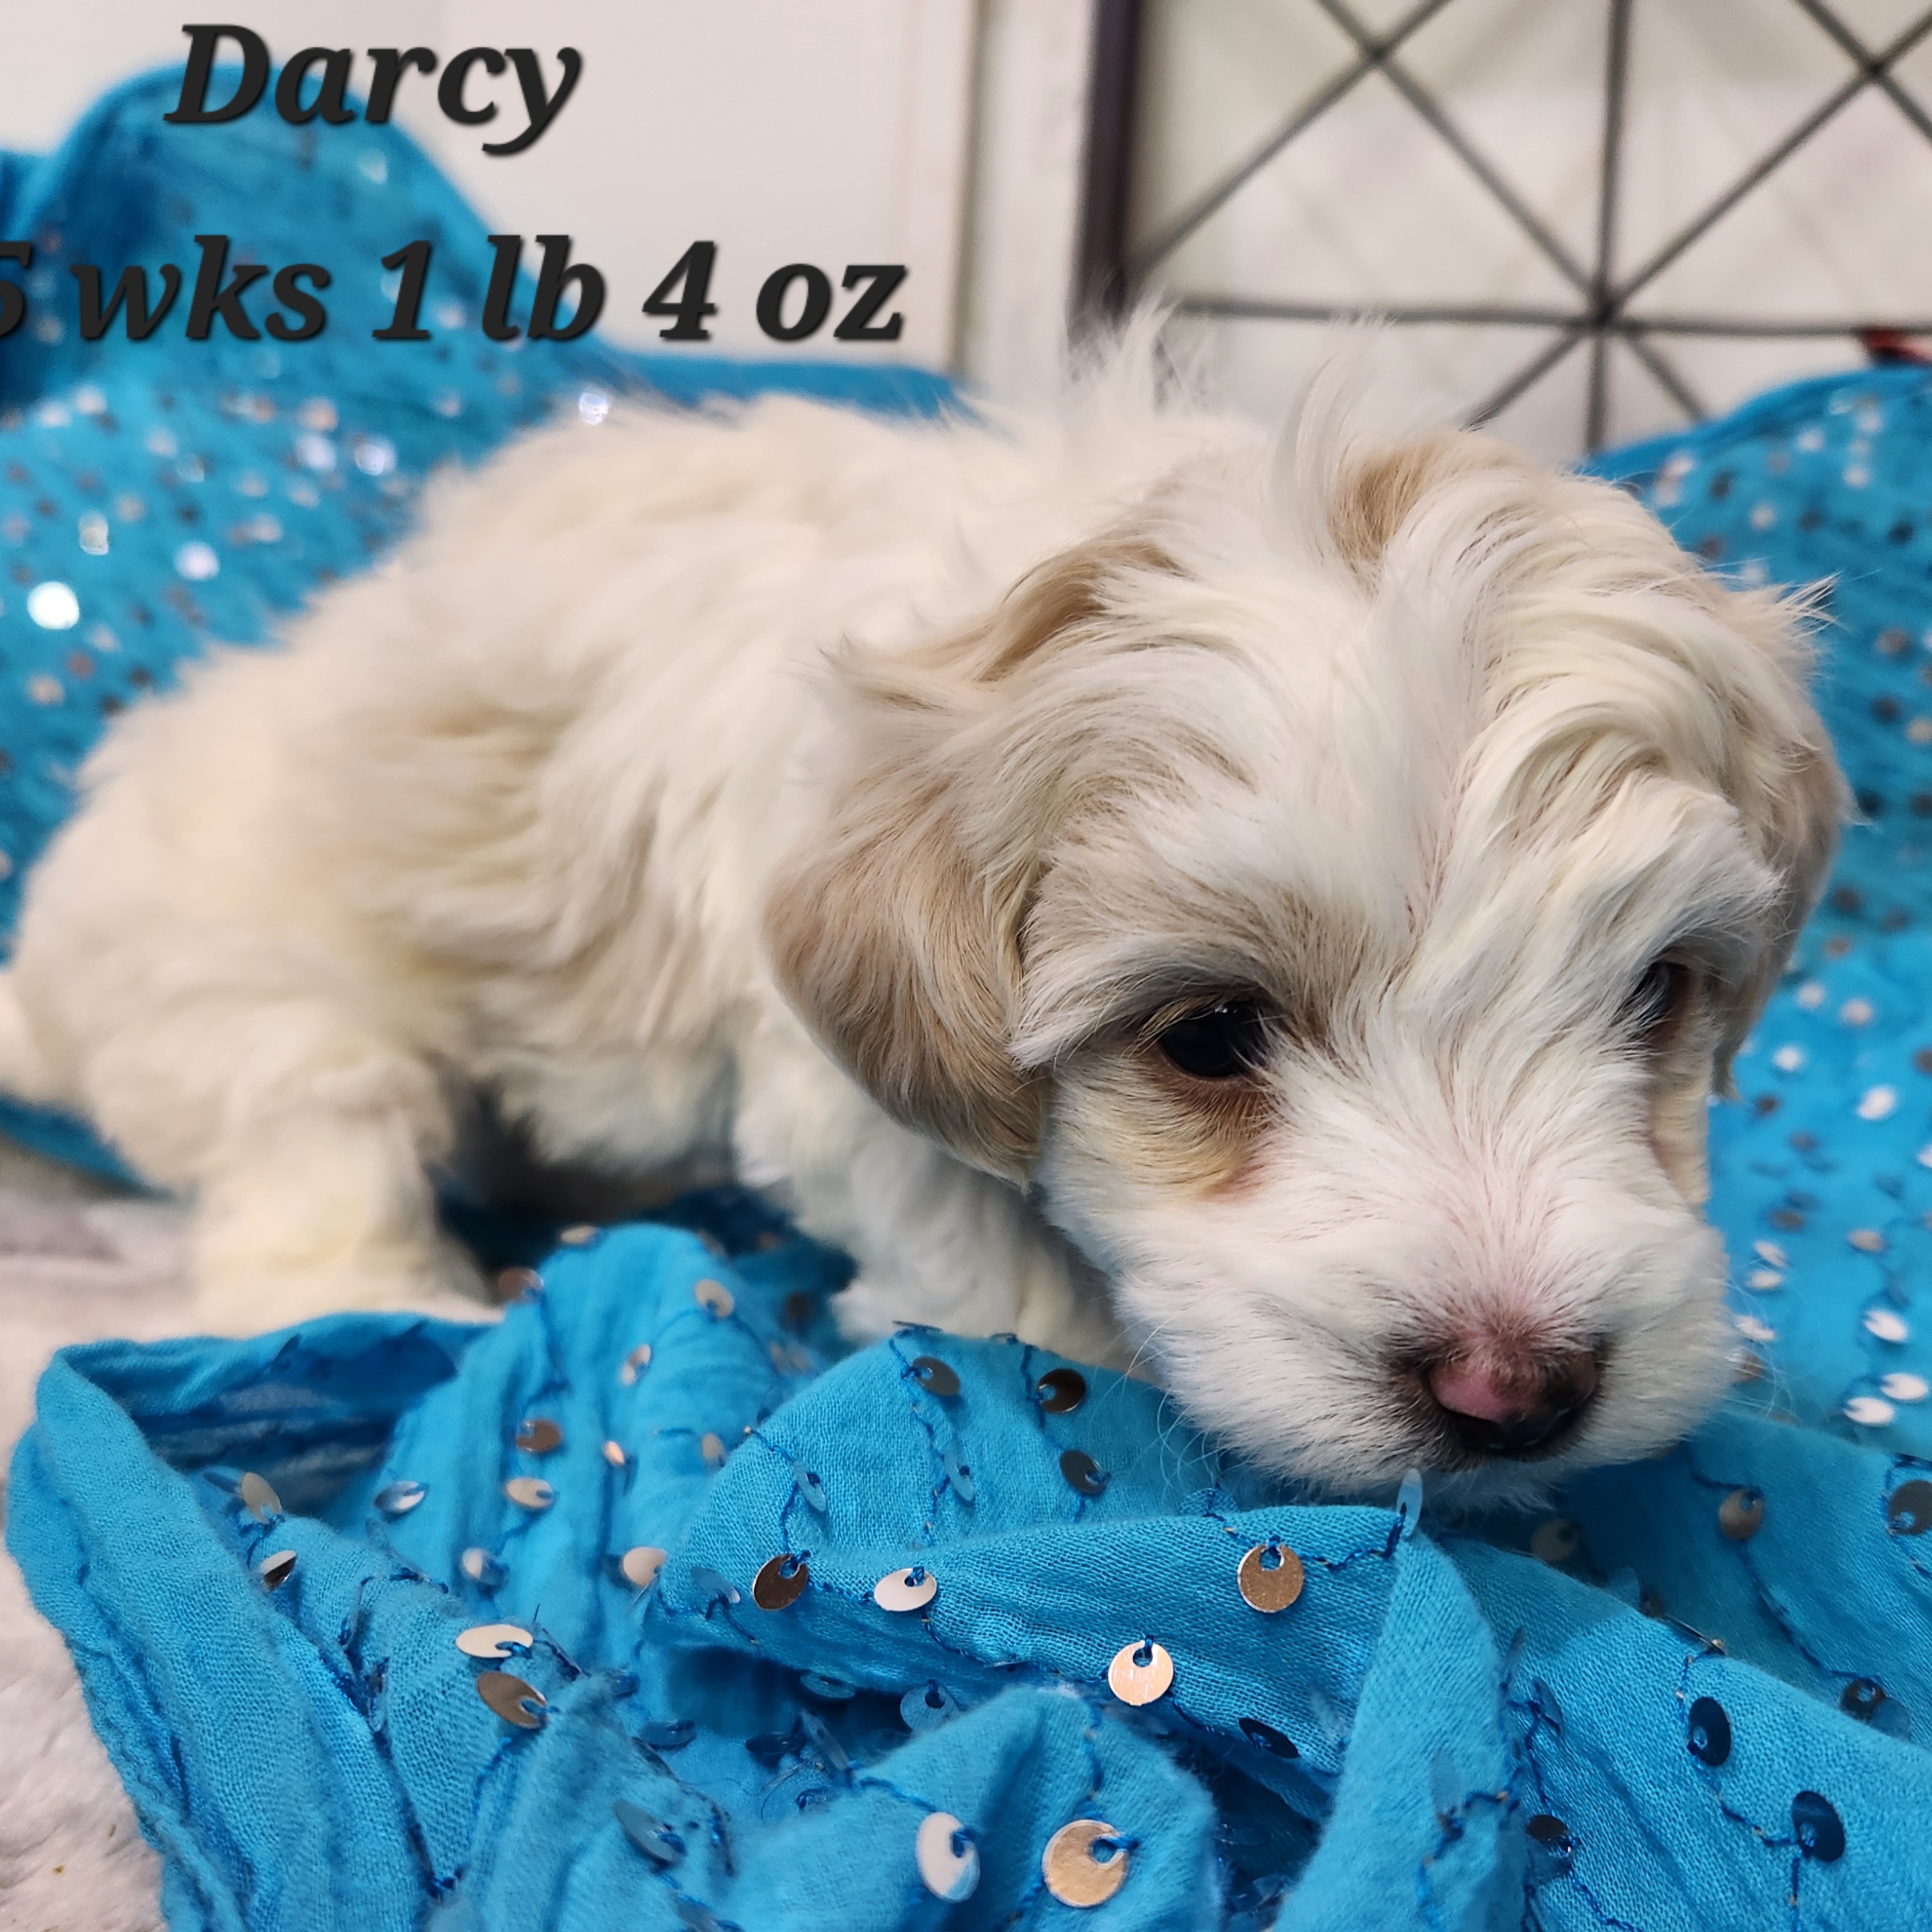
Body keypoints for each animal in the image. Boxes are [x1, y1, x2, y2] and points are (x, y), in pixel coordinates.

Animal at [0, 348, 1839, 1491]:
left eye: (1656, 995)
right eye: (1208, 1037)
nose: (1514, 1390)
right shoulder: (857, 1085)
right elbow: (1002, 1290)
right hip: (262, 1003)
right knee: (312, 1156)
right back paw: (399, 1290)